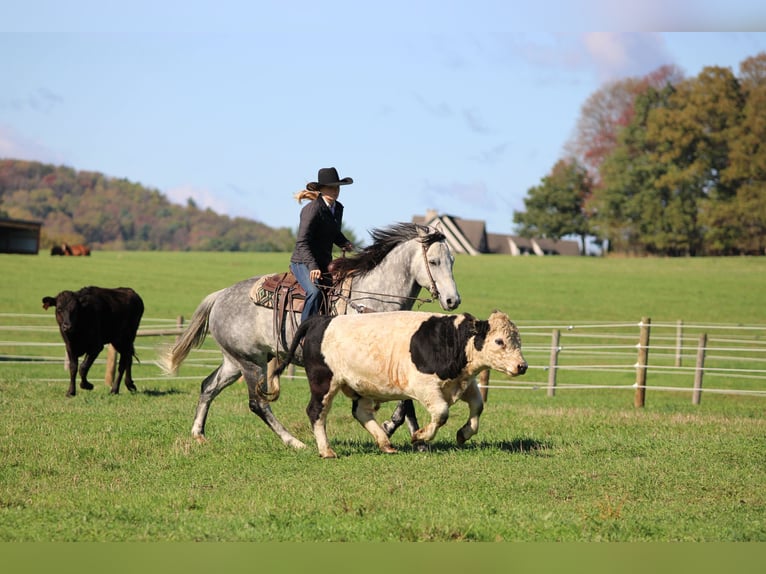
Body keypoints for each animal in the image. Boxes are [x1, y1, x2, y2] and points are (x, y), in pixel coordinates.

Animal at [160, 223, 461, 449]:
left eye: (452, 261)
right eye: (433, 261)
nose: (452, 300)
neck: (371, 300)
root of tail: (220, 296)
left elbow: (405, 401)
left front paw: (414, 437)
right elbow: (402, 400)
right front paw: (394, 431)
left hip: (237, 362)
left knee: (208, 387)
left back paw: (198, 435)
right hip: (251, 364)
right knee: (258, 403)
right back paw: (294, 442)